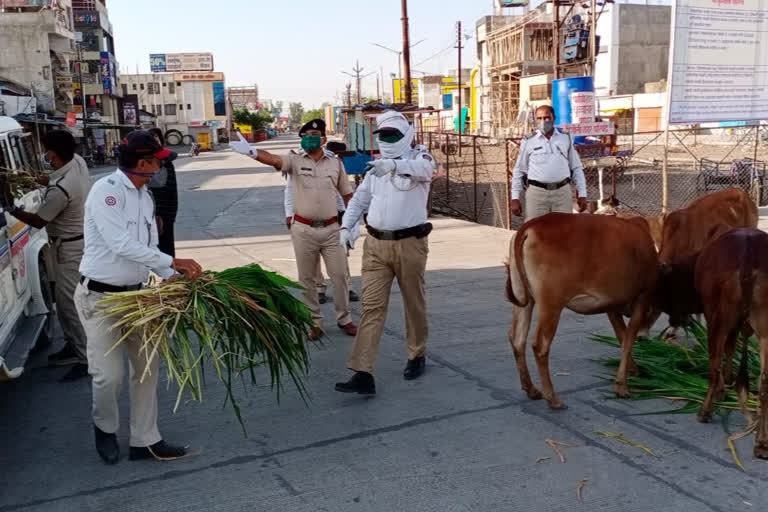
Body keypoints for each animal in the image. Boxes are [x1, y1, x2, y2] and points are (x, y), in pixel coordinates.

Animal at [504, 211, 660, 404]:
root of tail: (529, 226)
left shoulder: (612, 306)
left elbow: (622, 337)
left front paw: (632, 370)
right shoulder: (642, 298)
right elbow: (628, 341)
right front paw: (622, 386)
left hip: (526, 300)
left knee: (517, 339)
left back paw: (531, 389)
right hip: (551, 304)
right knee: (540, 345)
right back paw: (552, 397)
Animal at [656, 229, 768, 460]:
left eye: (667, 289)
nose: (674, 321)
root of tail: (749, 250)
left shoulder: (715, 317)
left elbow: (721, 358)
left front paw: (721, 390)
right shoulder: (735, 324)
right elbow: (730, 350)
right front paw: (727, 382)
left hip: (718, 318)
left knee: (713, 368)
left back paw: (705, 411)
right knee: (765, 385)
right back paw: (762, 443)